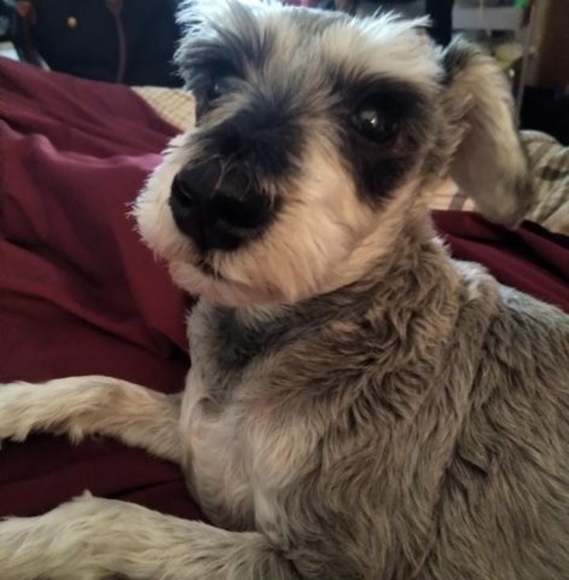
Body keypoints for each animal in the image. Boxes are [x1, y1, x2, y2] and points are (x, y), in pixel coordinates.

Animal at [1, 1, 568, 578]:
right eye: (216, 80)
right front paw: (12, 403)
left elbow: (109, 520)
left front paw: (14, 541)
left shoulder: (323, 560)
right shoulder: (194, 433)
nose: (213, 198)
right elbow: (105, 387)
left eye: (376, 121)